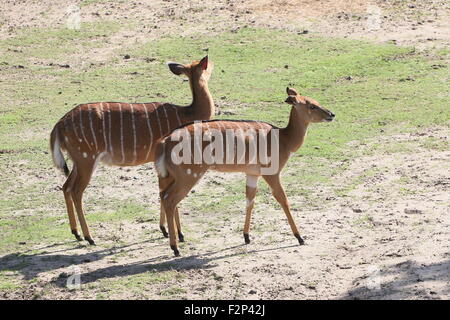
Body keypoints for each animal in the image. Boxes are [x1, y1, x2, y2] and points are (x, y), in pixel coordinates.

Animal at [50, 55, 215, 245]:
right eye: (207, 66)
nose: (213, 64)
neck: (189, 113)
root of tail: (60, 124)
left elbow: (161, 192)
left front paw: (164, 230)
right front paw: (179, 234)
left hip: (78, 161)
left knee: (66, 187)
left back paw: (76, 233)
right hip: (86, 159)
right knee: (76, 191)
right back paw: (89, 237)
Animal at [155, 87, 334, 255]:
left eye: (316, 101)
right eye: (312, 105)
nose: (332, 114)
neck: (284, 139)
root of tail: (164, 141)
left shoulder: (252, 173)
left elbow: (250, 201)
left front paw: (247, 237)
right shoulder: (272, 173)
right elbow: (283, 199)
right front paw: (300, 237)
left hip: (173, 176)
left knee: (163, 195)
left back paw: (178, 236)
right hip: (189, 175)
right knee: (170, 199)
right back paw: (175, 248)